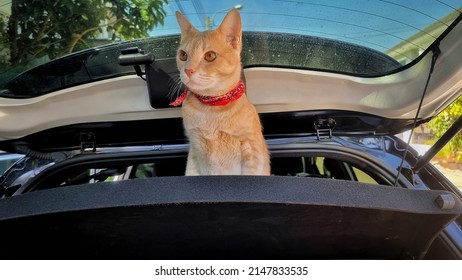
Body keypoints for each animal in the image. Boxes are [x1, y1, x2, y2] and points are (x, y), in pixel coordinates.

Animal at [171, 9, 268, 175]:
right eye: (183, 55)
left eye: (210, 56)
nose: (188, 70)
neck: (211, 107)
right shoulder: (195, 150)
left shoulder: (252, 150)